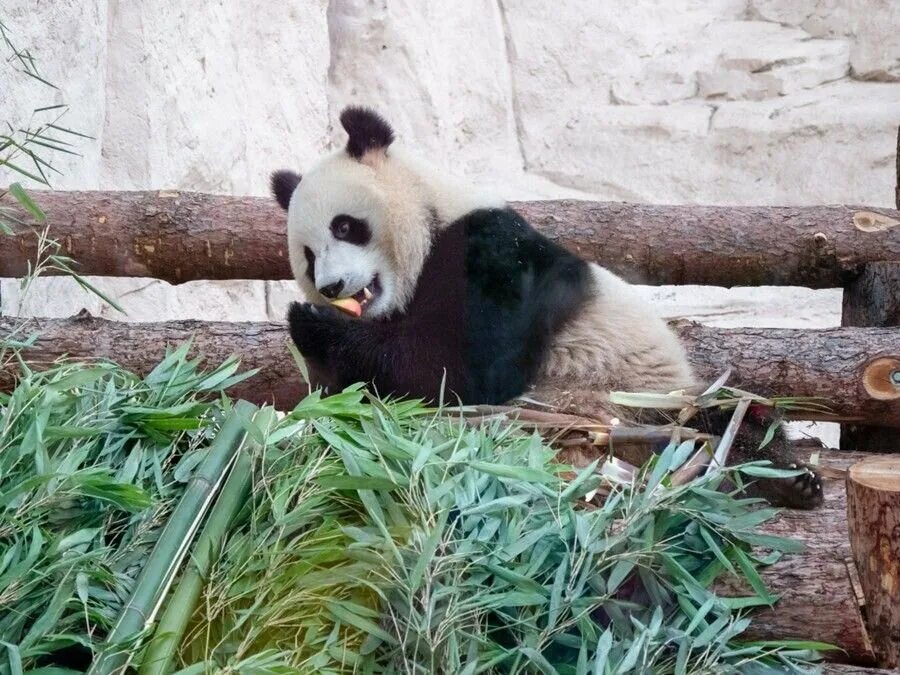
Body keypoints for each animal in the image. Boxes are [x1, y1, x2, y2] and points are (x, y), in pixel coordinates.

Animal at [268, 105, 824, 510]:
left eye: (345, 226)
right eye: (308, 256)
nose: (332, 286)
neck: (434, 220)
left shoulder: (494, 252)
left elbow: (459, 371)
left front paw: (313, 324)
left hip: (647, 397)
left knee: (730, 415)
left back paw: (783, 477)